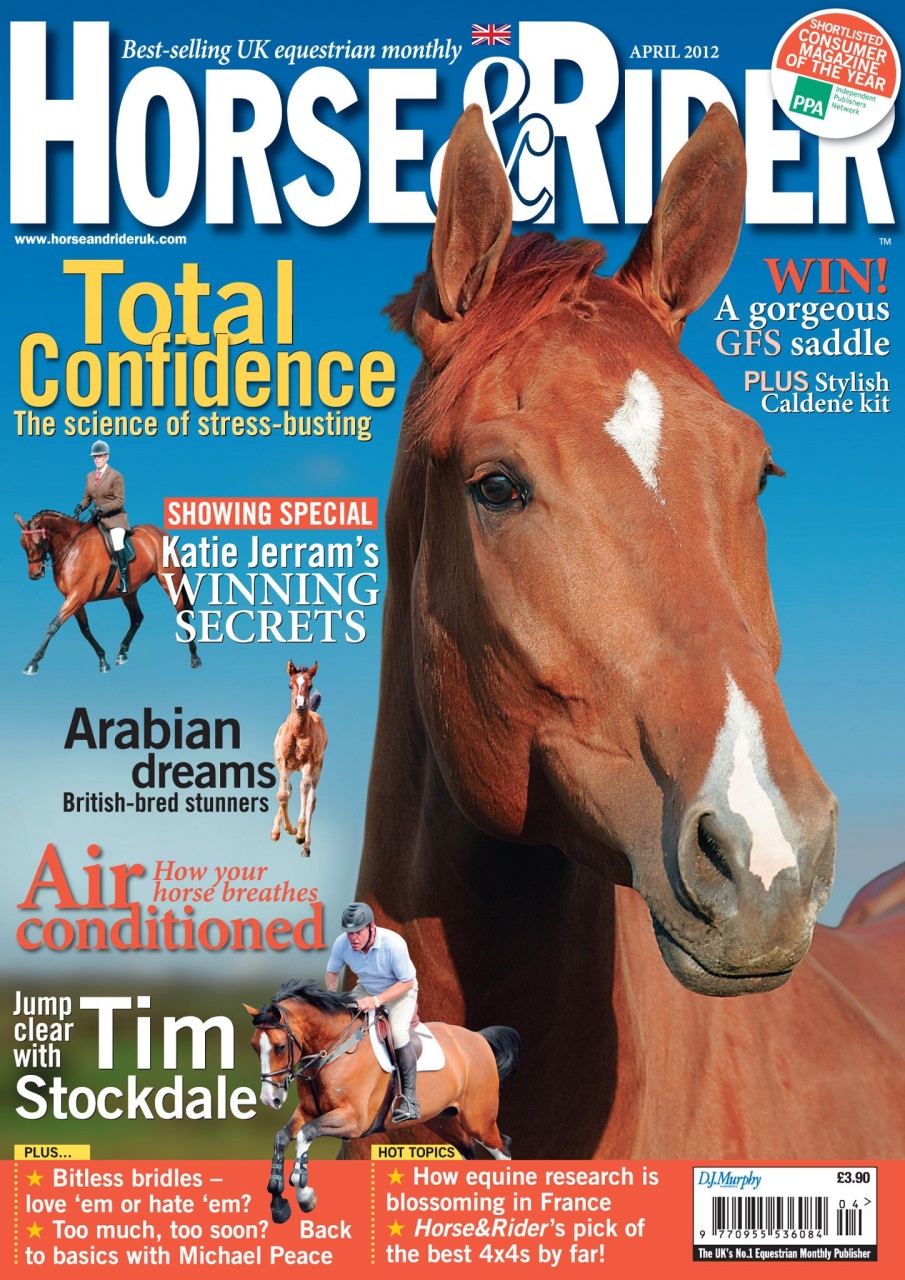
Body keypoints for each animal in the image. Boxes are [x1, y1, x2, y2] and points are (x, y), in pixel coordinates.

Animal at [14, 510, 201, 673]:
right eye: (22, 544)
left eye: (38, 543)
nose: (34, 574)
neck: (72, 547)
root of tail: (161, 533)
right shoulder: (74, 599)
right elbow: (85, 630)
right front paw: (103, 660)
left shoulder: (75, 597)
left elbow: (53, 626)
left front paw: (33, 662)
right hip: (129, 592)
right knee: (137, 617)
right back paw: (122, 653)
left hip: (170, 582)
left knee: (181, 613)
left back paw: (195, 658)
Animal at [245, 980, 519, 1220]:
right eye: (255, 1046)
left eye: (280, 1047)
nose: (271, 1099)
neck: (332, 1051)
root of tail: (478, 1037)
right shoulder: (308, 1111)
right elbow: (282, 1138)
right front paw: (278, 1205)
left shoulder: (353, 1121)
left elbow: (305, 1135)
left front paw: (305, 1197)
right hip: (444, 1120)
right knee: (468, 1150)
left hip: (478, 1120)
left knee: (502, 1147)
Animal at [271, 661, 328, 854]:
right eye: (290, 685)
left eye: (310, 686)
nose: (301, 704)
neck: (297, 733)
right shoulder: (283, 762)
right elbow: (283, 794)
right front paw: (287, 829)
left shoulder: (308, 763)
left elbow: (304, 788)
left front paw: (299, 833)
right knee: (288, 789)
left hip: (318, 767)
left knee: (311, 799)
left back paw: (306, 845)